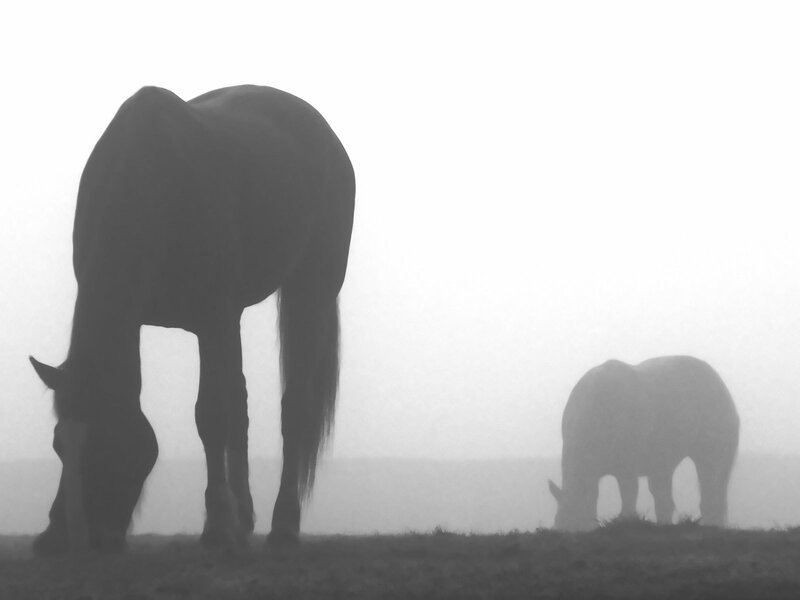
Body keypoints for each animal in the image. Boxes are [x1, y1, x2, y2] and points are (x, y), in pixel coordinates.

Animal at [29, 85, 355, 554]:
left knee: (293, 407)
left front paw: (217, 525)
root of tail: (325, 134)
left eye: (107, 442)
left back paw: (282, 525)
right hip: (234, 319)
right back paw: (245, 518)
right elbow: (228, 412)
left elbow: (211, 416)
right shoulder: (201, 319)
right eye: (58, 445)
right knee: (242, 404)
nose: (77, 539)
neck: (151, 181)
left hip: (309, 291)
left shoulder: (211, 318)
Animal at [548, 356, 739, 531]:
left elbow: (628, 496)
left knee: (710, 477)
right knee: (663, 485)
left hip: (715, 417)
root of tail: (721, 385)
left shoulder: (627, 467)